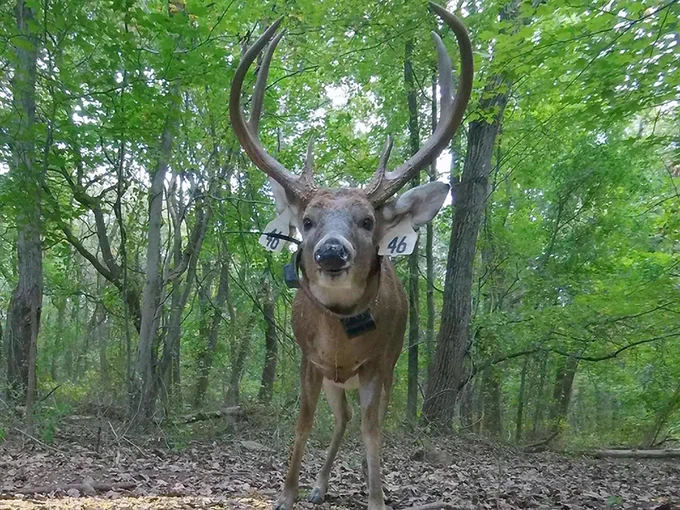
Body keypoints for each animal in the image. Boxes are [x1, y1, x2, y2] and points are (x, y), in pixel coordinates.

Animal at [229, 3, 473, 510]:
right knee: (339, 420)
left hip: (385, 370)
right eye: (307, 221)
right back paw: (320, 485)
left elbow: (373, 431)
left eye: (366, 220)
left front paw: (377, 498)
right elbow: (303, 423)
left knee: (360, 423)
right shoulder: (308, 359)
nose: (330, 252)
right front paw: (287, 493)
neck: (342, 341)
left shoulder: (381, 364)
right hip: (336, 382)